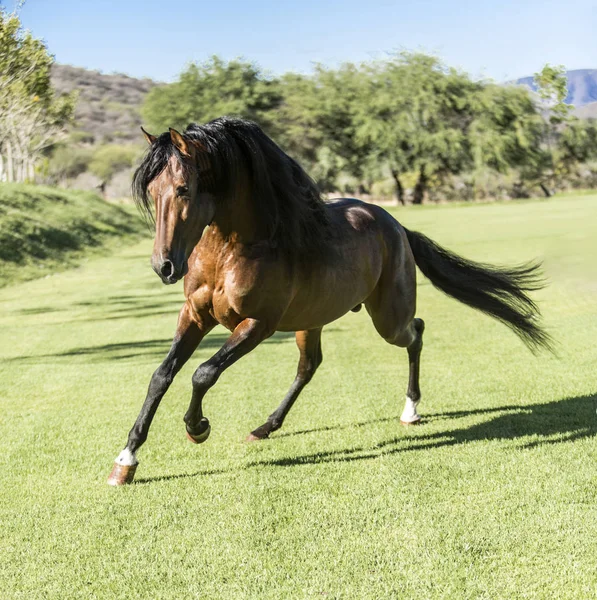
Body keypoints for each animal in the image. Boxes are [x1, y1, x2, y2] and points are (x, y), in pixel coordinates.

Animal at [106, 117, 548, 488]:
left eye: (183, 189)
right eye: (152, 191)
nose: (163, 266)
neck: (236, 249)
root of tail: (395, 225)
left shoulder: (257, 325)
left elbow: (203, 373)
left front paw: (197, 427)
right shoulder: (195, 316)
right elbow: (161, 376)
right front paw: (126, 461)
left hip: (388, 319)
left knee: (416, 333)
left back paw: (410, 411)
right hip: (312, 319)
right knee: (309, 366)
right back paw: (265, 427)